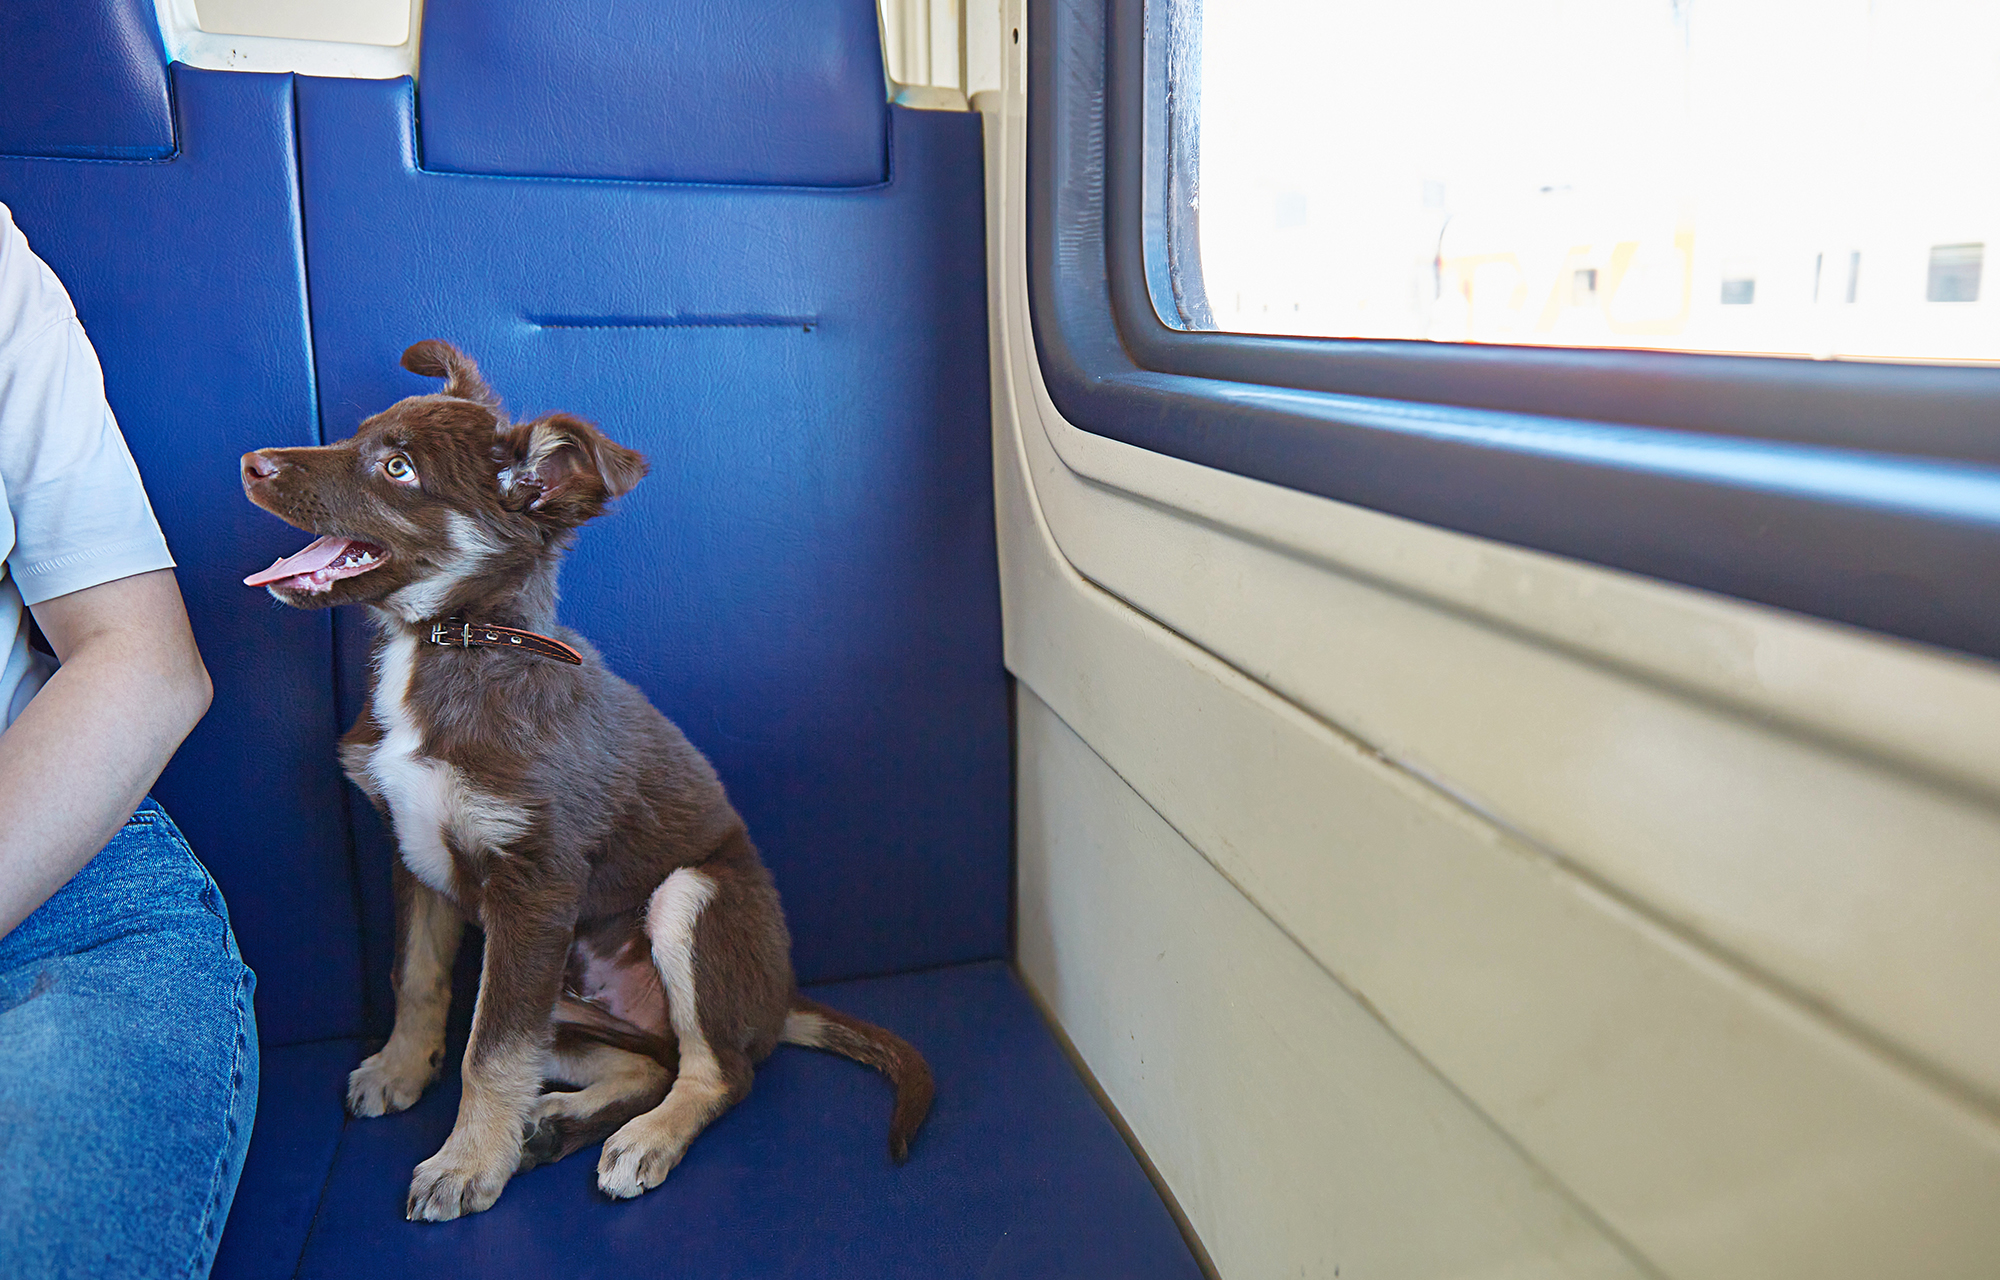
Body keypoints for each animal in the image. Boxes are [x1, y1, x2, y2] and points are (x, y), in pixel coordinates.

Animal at [236, 338, 936, 1216]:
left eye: (397, 469)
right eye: (357, 436)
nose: (250, 463)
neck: (455, 641)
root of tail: (778, 1003)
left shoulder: (535, 885)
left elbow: (488, 1054)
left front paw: (466, 1164)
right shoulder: (416, 859)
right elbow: (419, 979)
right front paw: (402, 1069)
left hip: (688, 900)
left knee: (719, 1071)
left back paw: (641, 1140)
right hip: (565, 1006)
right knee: (646, 1063)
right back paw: (551, 1127)